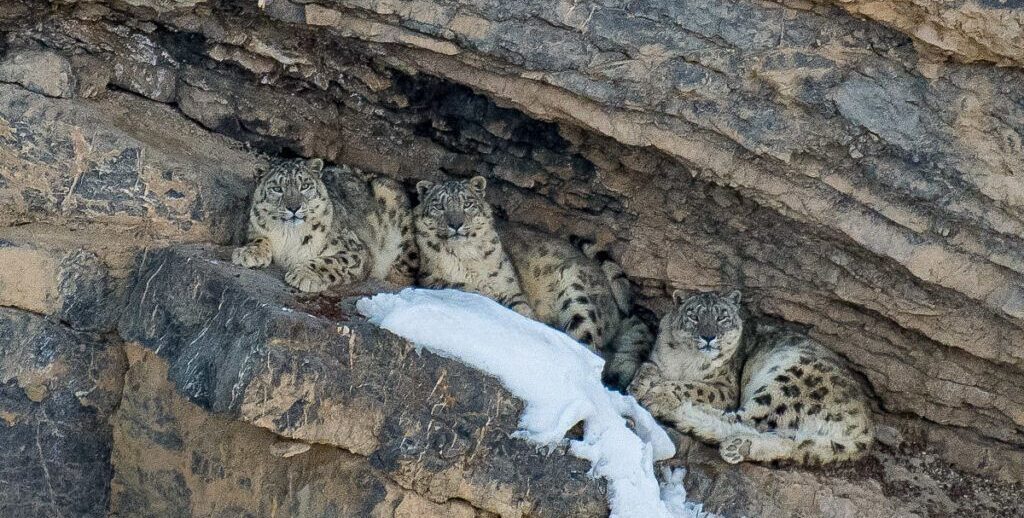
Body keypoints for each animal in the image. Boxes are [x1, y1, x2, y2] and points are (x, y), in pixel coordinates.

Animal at [232, 157, 418, 292]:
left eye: (305, 186)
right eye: (277, 188)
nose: (294, 207)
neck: (290, 235)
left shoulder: (355, 249)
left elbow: (332, 260)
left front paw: (304, 274)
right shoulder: (255, 228)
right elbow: (259, 239)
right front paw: (248, 252)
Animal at [413, 176, 651, 385]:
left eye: (468, 204)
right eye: (439, 206)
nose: (456, 224)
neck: (467, 260)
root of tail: (616, 310)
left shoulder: (509, 289)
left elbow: (522, 310)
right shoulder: (431, 279)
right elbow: (463, 287)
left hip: (577, 292)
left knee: (589, 345)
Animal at [629, 290, 873, 466]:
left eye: (722, 317)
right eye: (694, 316)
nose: (708, 336)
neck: (685, 359)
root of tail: (866, 428)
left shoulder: (725, 387)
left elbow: (691, 386)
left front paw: (658, 393)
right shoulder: (656, 360)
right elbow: (646, 368)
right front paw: (636, 387)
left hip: (786, 384)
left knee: (742, 419)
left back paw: (672, 409)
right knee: (790, 442)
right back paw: (738, 447)